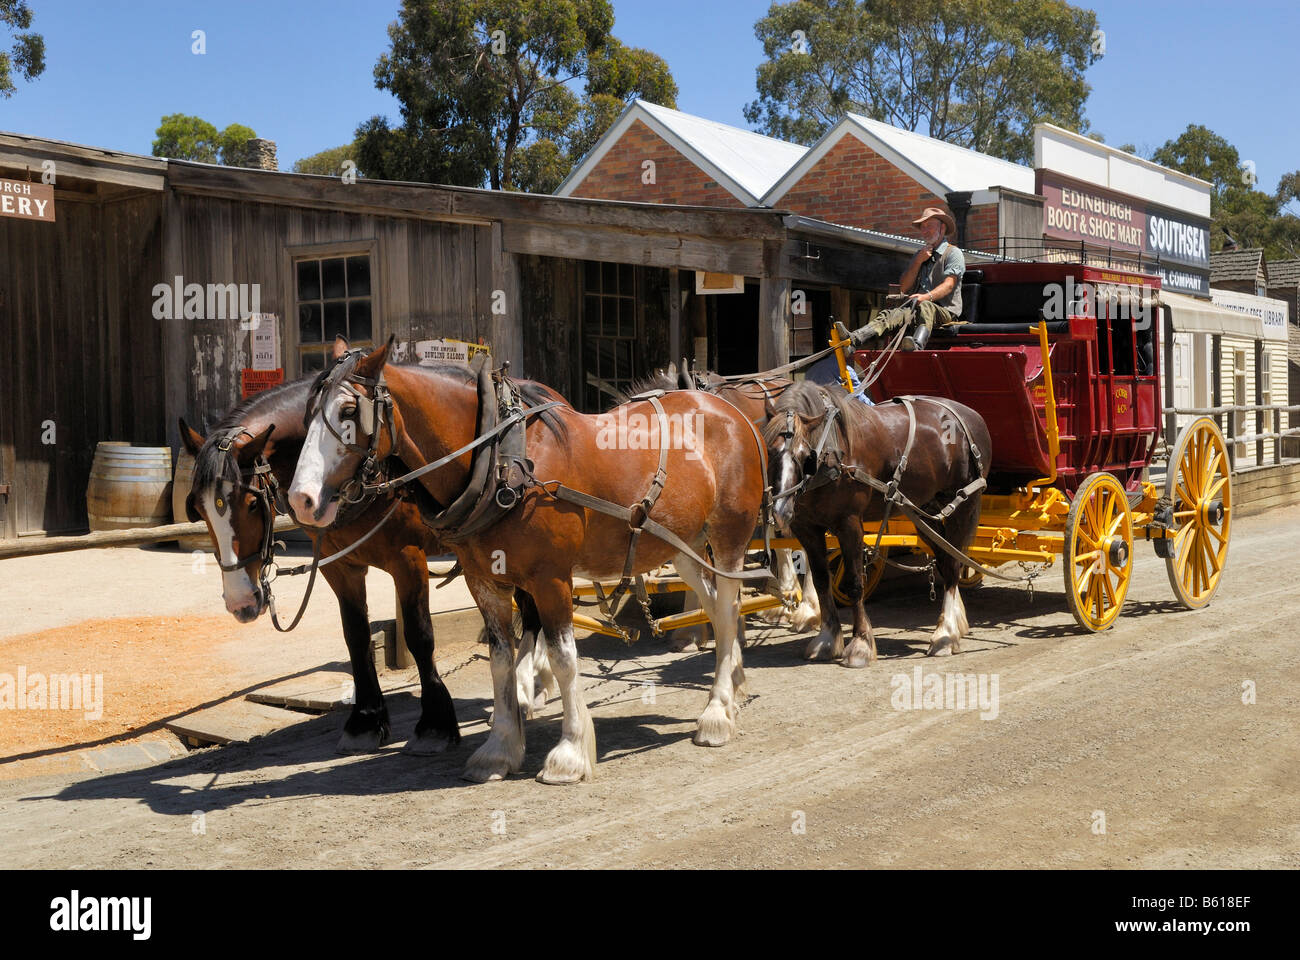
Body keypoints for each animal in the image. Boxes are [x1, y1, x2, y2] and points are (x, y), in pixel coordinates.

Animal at [176, 343, 559, 754]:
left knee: (532, 612)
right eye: (198, 509)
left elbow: (419, 635)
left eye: (250, 504)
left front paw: (435, 723)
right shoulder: (339, 566)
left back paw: (527, 691)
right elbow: (355, 636)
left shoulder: (407, 558)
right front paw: (365, 719)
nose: (241, 603)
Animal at [289, 340, 764, 780]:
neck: (501, 460)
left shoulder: (550, 579)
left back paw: (717, 711)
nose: (301, 498)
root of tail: (723, 406)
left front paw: (569, 753)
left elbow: (563, 658)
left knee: (726, 607)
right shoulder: (485, 581)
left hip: (729, 536)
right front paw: (500, 748)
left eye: (350, 410)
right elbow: (501, 660)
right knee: (717, 608)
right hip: (680, 545)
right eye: (308, 413)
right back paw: (735, 684)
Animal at [759, 377, 987, 660]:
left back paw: (946, 634)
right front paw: (827, 638)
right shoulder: (807, 528)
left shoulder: (849, 524)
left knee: (955, 565)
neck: (833, 452)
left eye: (806, 456)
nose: (780, 511)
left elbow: (854, 583)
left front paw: (860, 644)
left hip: (962, 503)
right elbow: (822, 581)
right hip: (924, 510)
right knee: (946, 559)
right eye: (769, 451)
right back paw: (954, 622)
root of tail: (971, 415)